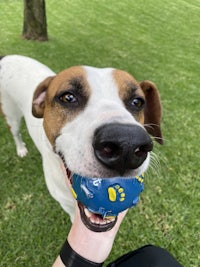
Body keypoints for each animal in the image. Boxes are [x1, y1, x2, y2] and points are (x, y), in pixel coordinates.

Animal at [0, 55, 162, 233]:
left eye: (137, 102)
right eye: (68, 97)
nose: (127, 143)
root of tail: (6, 57)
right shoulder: (66, 204)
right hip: (11, 115)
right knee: (16, 133)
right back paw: (21, 149)